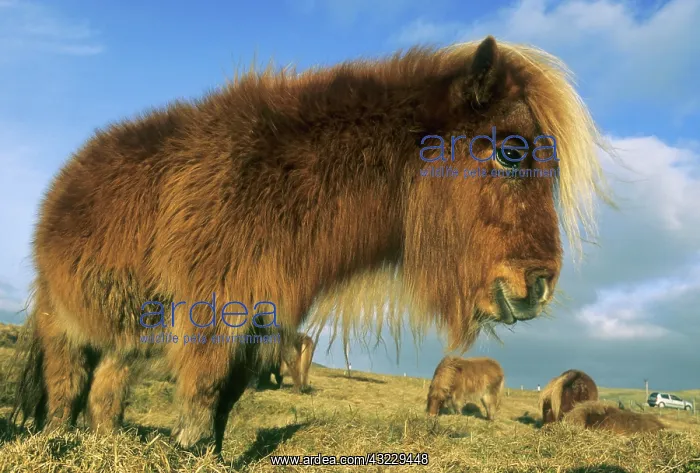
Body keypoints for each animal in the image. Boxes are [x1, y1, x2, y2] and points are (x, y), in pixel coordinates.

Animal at [10, 35, 611, 455]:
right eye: (511, 152)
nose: (539, 286)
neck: (279, 182)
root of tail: (66, 180)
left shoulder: (259, 322)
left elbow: (227, 401)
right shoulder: (213, 315)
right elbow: (203, 398)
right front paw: (189, 452)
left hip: (128, 333)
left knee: (105, 391)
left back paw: (102, 443)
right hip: (67, 321)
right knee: (66, 385)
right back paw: (59, 440)